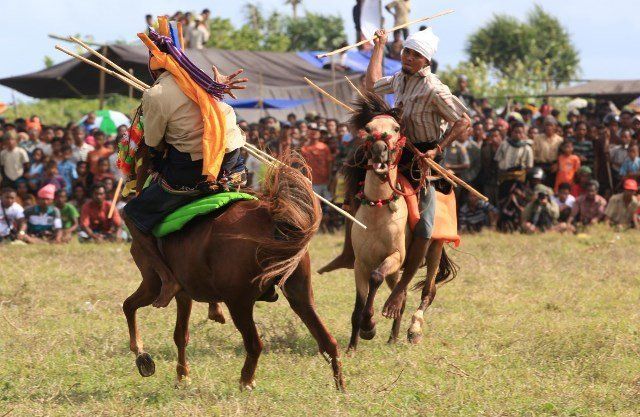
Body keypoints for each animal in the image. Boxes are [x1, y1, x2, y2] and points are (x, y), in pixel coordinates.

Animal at [124, 143, 344, 390]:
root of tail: (271, 217)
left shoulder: (153, 283)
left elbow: (129, 306)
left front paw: (141, 354)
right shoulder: (184, 293)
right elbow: (180, 334)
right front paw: (182, 375)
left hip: (239, 301)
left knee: (255, 344)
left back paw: (246, 380)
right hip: (299, 293)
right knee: (327, 340)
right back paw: (340, 387)